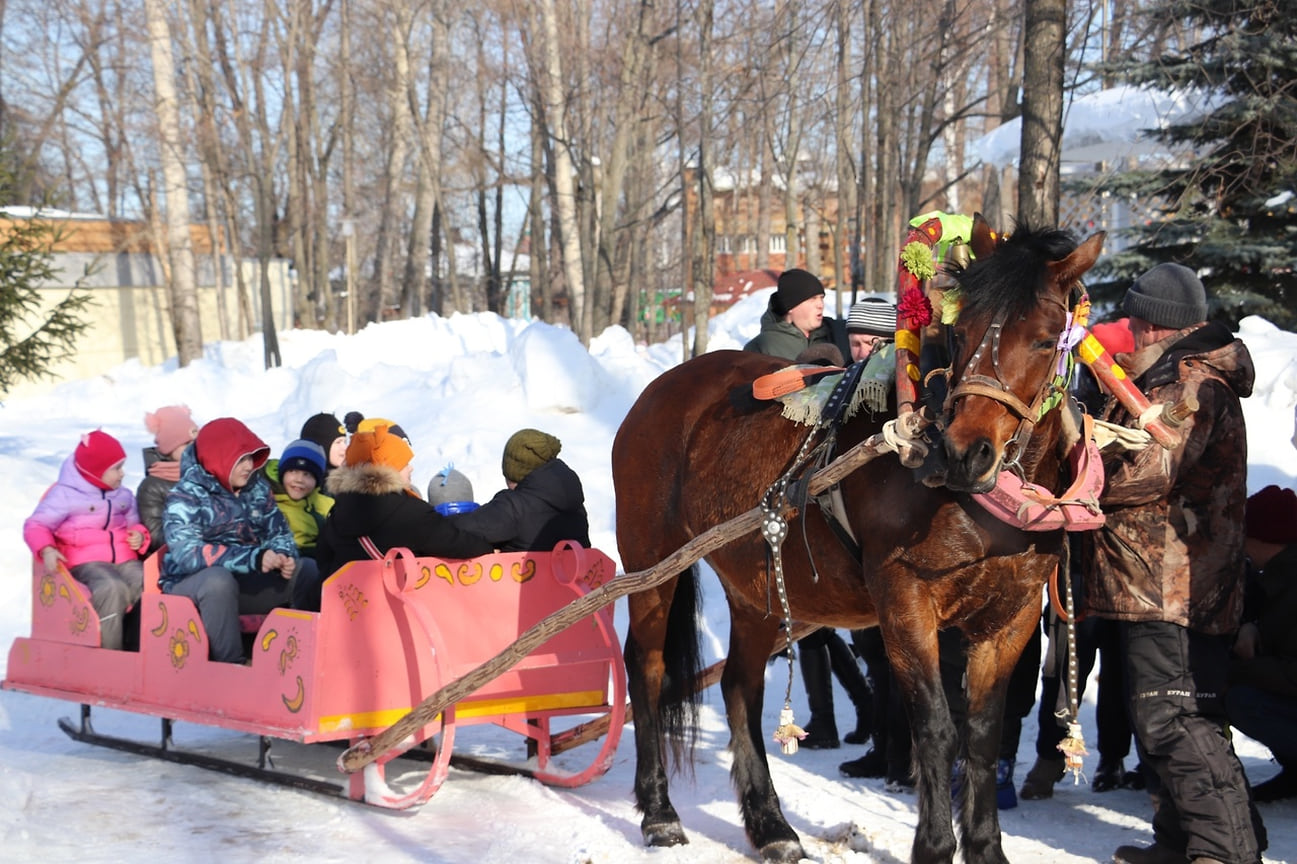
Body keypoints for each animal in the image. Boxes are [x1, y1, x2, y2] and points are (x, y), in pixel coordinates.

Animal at [612, 216, 1099, 861]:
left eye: (1046, 341)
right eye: (962, 331)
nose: (964, 454)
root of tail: (659, 390)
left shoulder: (1011, 616)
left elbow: (982, 735)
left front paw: (985, 848)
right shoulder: (904, 598)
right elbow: (935, 728)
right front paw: (934, 846)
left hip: (757, 583)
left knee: (741, 686)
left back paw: (771, 825)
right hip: (652, 561)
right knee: (646, 665)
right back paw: (660, 812)